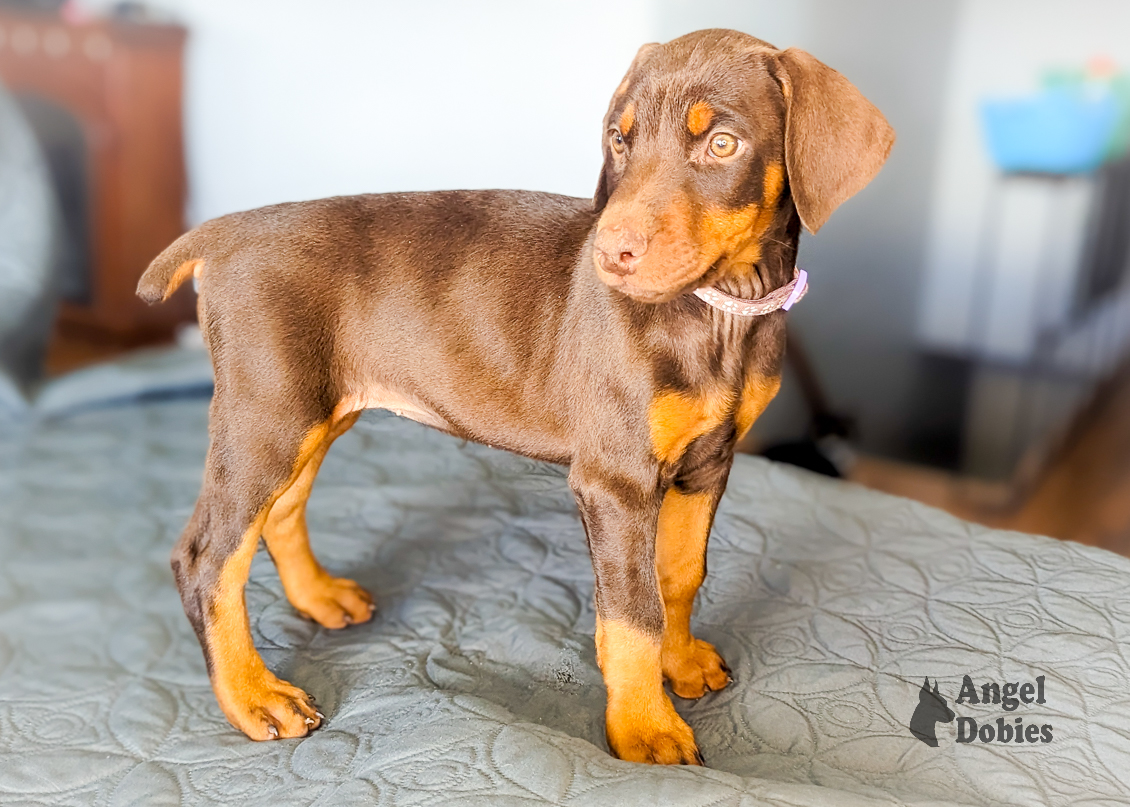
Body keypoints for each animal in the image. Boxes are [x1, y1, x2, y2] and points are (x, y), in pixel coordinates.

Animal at [136, 29, 890, 759]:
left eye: (722, 144)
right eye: (620, 139)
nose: (608, 254)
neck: (720, 311)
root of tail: (223, 233)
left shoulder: (709, 462)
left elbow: (678, 574)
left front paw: (678, 663)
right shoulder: (615, 480)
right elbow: (632, 611)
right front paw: (644, 728)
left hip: (314, 410)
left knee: (280, 512)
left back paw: (317, 598)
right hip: (271, 410)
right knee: (207, 557)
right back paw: (253, 694)